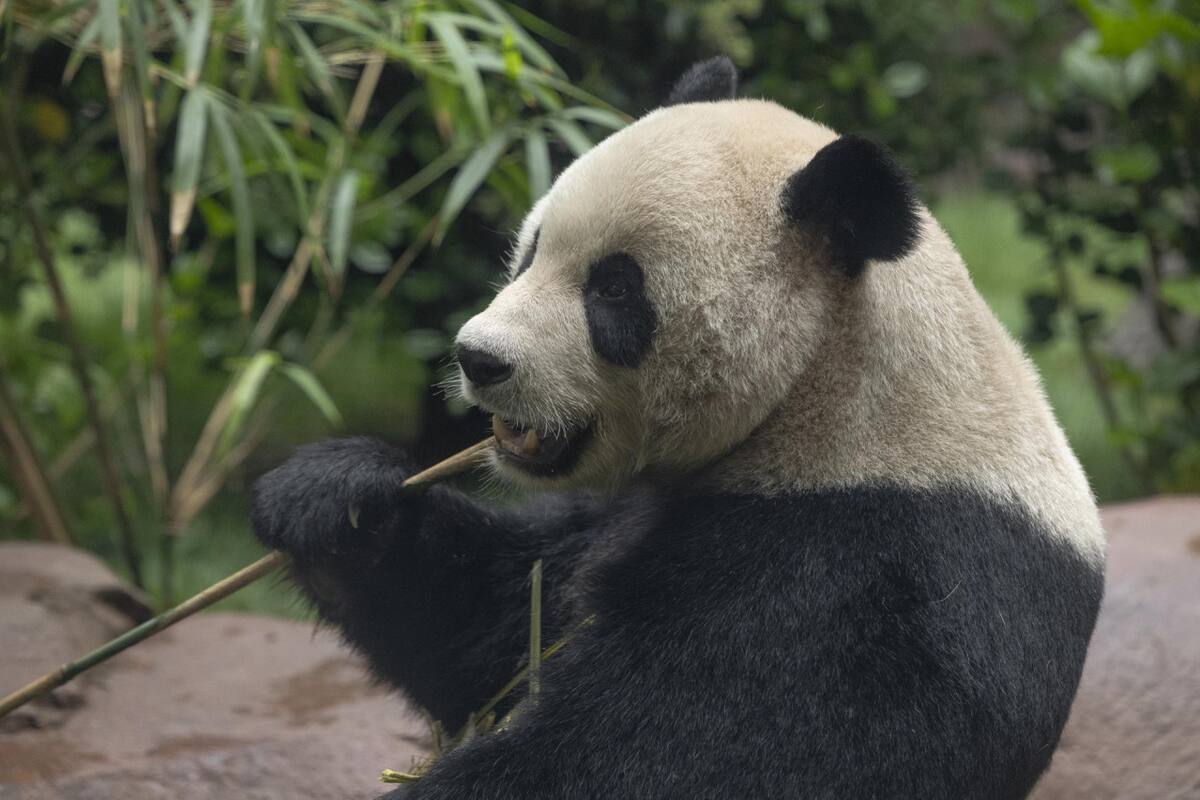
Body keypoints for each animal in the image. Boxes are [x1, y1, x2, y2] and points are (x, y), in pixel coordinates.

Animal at [252, 57, 1105, 799]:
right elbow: (486, 624)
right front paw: (334, 498)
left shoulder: (858, 576)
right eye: (531, 249)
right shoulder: (621, 515)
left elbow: (650, 753)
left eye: (614, 289)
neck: (831, 396)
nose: (479, 357)